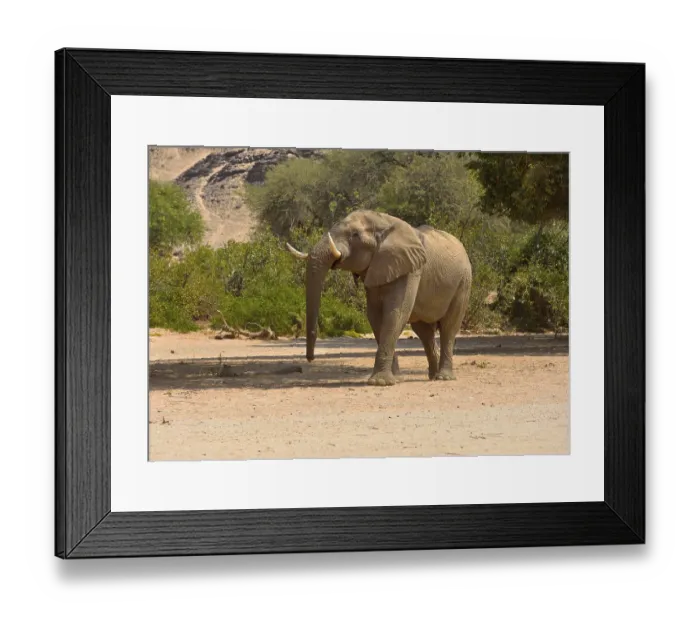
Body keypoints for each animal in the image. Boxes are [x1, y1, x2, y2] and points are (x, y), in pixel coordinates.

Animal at [286, 210, 473, 386]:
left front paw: (380, 382)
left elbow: (396, 313)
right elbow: (375, 316)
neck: (384, 222)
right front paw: (395, 379)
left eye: (355, 235)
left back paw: (444, 377)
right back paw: (433, 377)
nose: (310, 359)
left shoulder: (411, 269)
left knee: (449, 327)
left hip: (463, 282)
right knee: (424, 332)